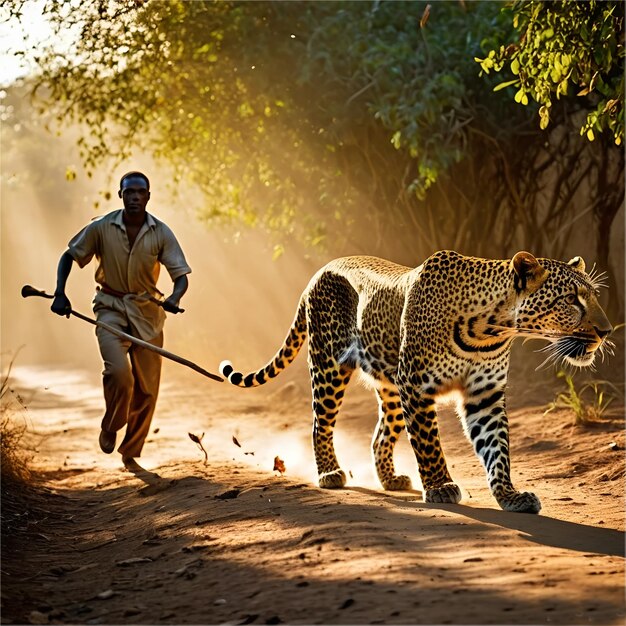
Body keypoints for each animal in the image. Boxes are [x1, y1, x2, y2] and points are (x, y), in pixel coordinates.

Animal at [218, 250, 608, 512]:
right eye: (571, 299)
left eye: (594, 296)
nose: (606, 331)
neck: (492, 329)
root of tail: (320, 271)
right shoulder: (416, 386)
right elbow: (428, 443)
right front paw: (440, 487)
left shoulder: (484, 394)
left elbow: (497, 447)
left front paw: (509, 494)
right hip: (329, 366)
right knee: (320, 424)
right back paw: (330, 473)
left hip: (390, 388)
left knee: (379, 435)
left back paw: (390, 480)